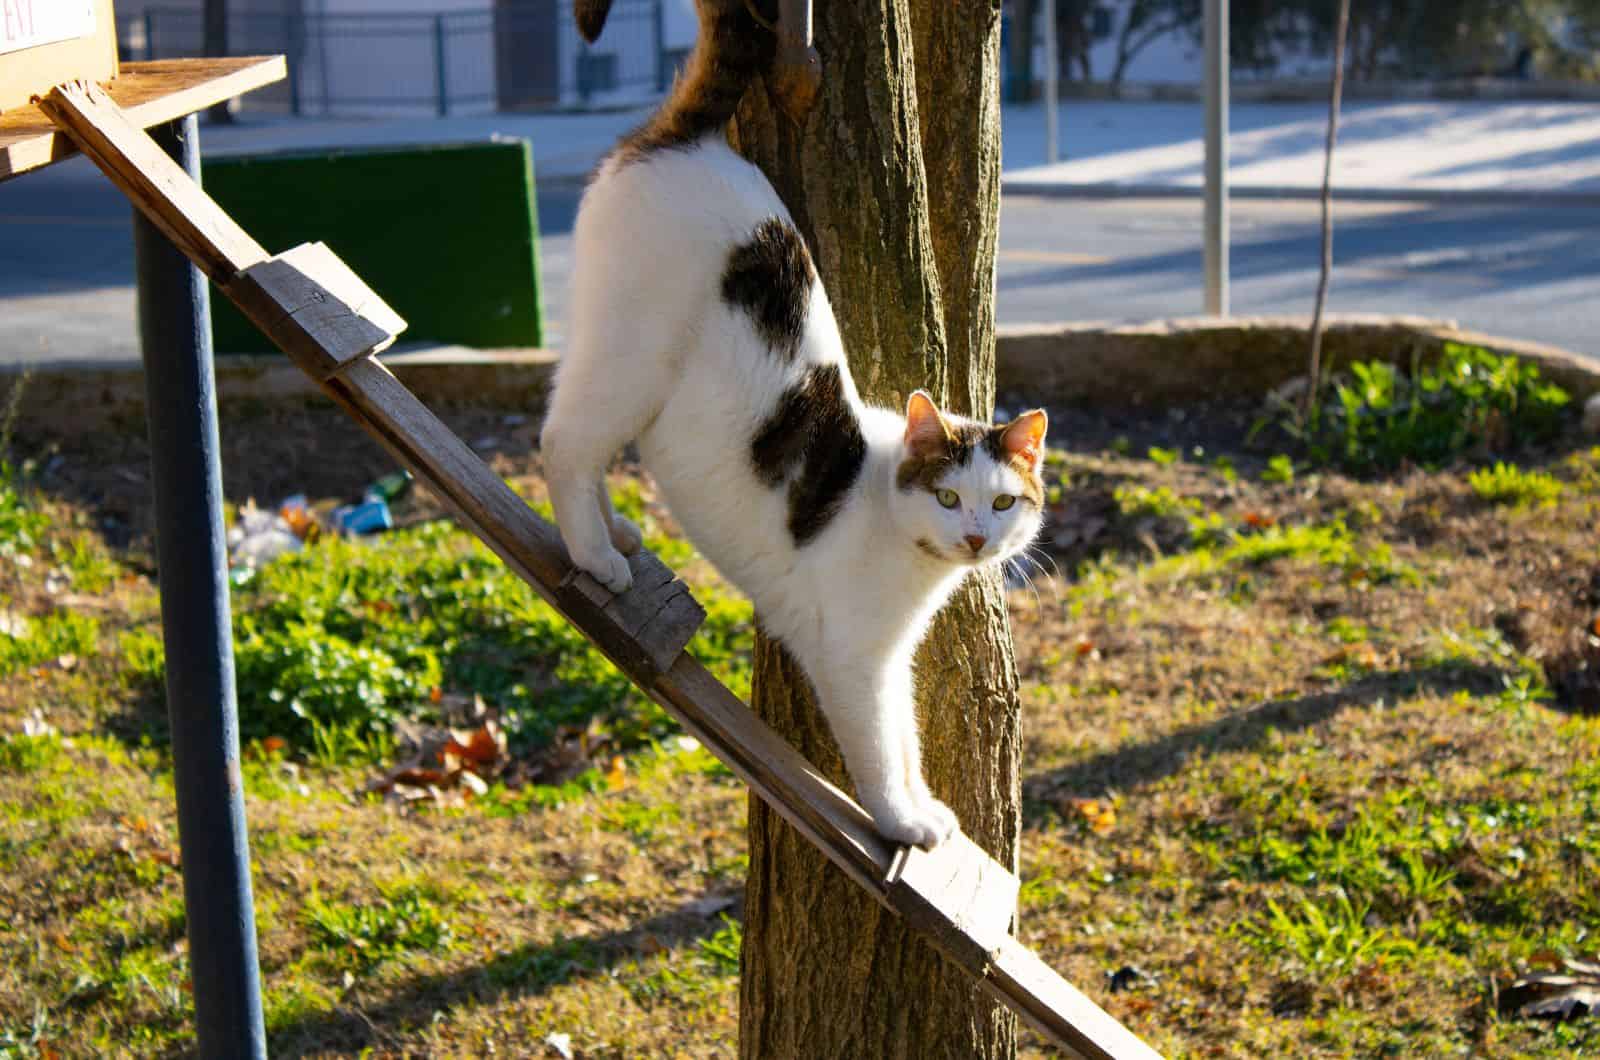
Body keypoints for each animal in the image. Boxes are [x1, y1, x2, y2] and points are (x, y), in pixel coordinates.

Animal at [540, 0, 1049, 851]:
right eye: (949, 497)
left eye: (1003, 501)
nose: (978, 537)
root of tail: (697, 136)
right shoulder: (853, 661)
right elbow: (878, 751)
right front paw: (901, 821)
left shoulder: (891, 661)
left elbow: (907, 739)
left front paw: (926, 806)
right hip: (634, 351)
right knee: (563, 443)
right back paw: (595, 556)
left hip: (603, 338)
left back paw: (617, 535)